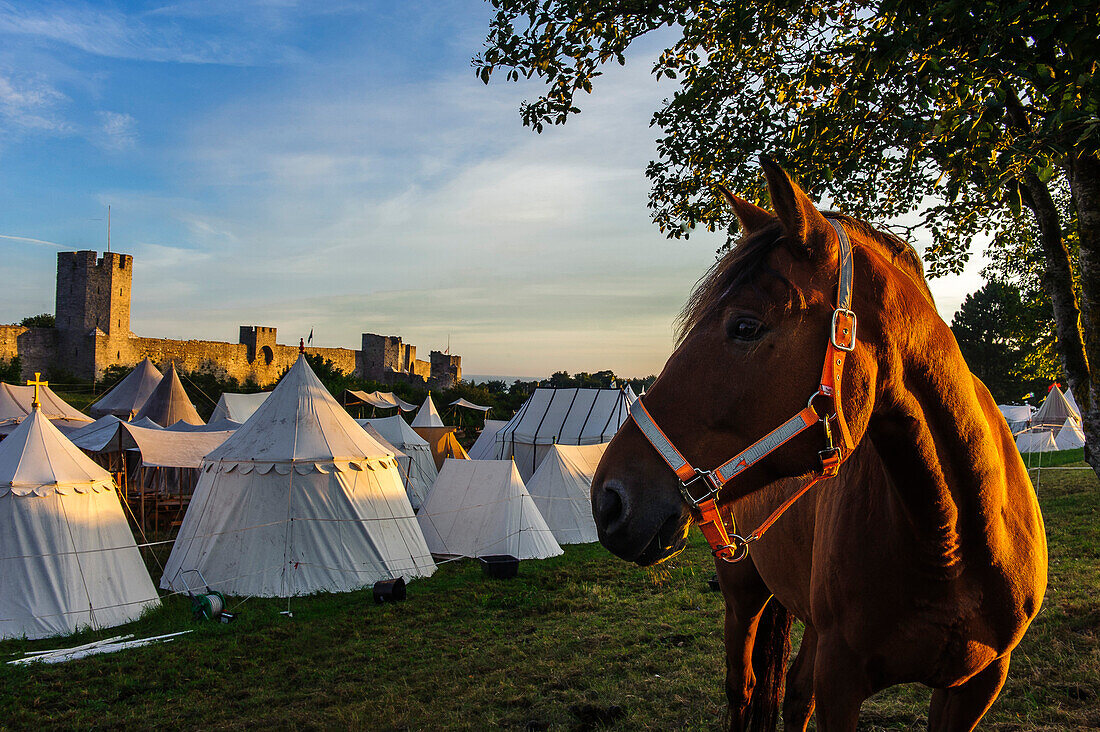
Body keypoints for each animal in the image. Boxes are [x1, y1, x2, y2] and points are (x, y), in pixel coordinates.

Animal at [594, 157, 1047, 726]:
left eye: (745, 326)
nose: (608, 499)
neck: (954, 540)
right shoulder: (841, 682)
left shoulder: (976, 685)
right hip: (743, 597)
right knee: (743, 689)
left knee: (793, 689)